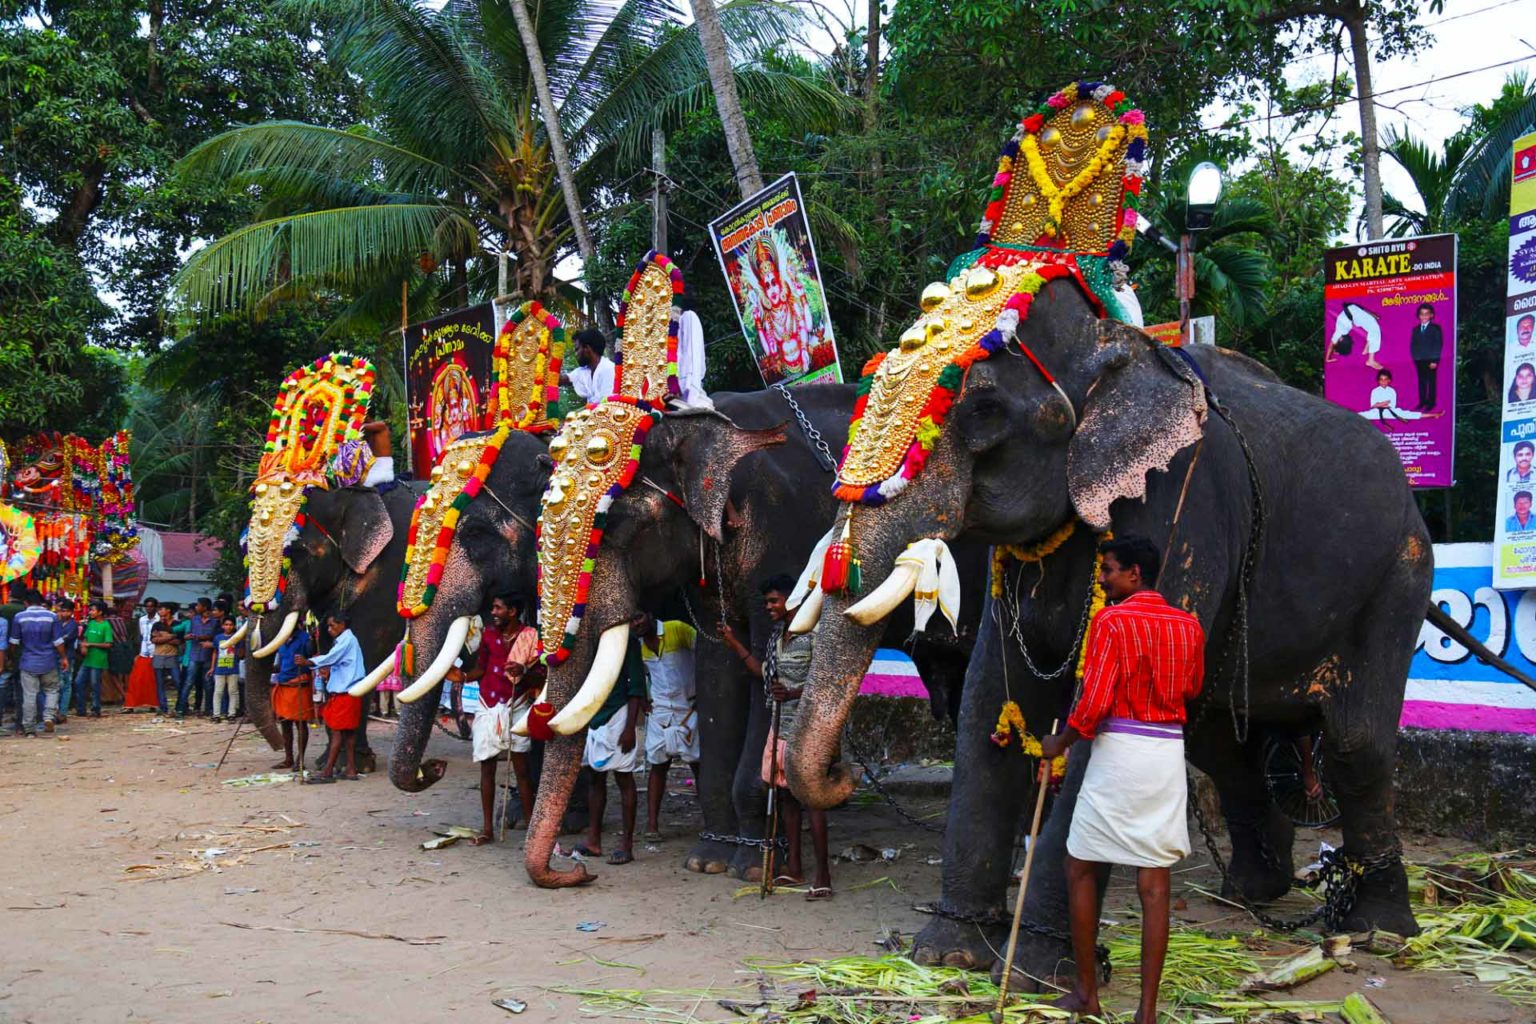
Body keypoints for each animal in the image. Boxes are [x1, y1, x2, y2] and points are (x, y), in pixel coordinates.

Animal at [236, 485, 414, 773]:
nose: (278, 749)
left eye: (298, 553)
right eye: (244, 553)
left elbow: (366, 646)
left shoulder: (388, 574)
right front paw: (327, 763)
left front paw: (354, 765)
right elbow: (331, 648)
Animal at [786, 271, 1431, 982]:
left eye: (984, 412)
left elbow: (1105, 707)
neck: (1110, 343)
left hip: (1399, 575)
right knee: (1217, 739)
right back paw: (1253, 892)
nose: (844, 778)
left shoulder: (1183, 510)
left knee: (1354, 742)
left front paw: (1037, 970)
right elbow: (992, 696)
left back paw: (1380, 930)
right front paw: (950, 954)